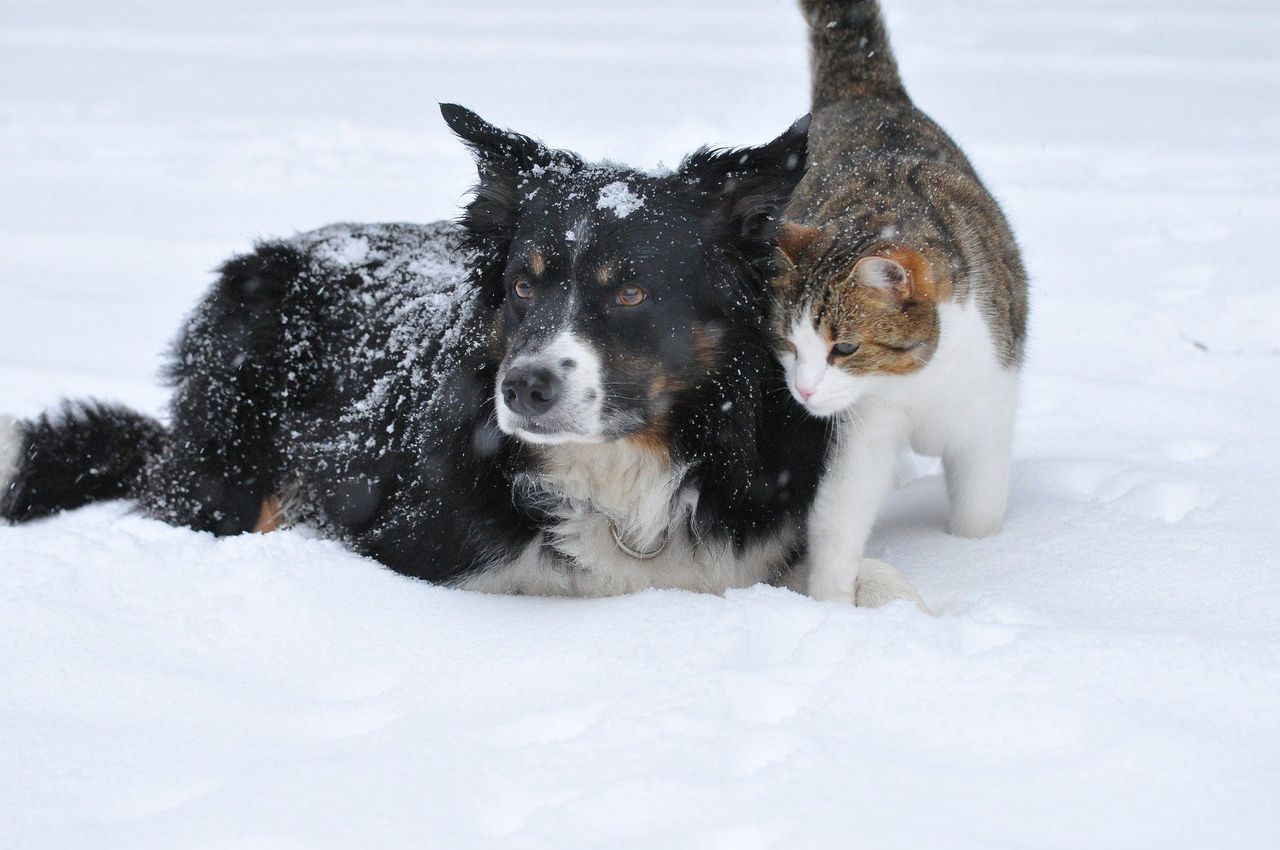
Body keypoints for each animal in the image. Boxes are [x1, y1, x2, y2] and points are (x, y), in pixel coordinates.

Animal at [768, 0, 1029, 604]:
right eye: (788, 344)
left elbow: (979, 510)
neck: (919, 381)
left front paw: (981, 558)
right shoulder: (861, 428)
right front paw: (832, 603)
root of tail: (865, 93)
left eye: (844, 348)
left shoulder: (987, 407)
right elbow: (838, 514)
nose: (804, 390)